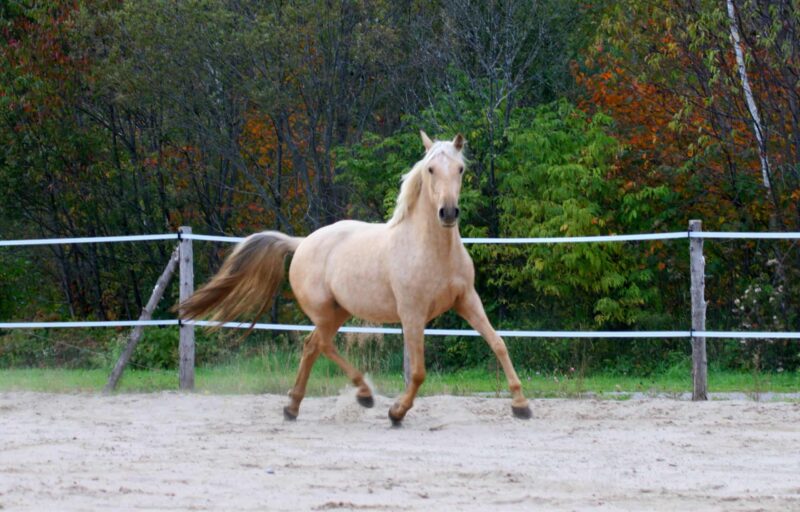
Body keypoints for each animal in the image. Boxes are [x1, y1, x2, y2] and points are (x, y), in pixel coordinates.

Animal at [179, 131, 532, 425]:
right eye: (431, 170)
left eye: (460, 169)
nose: (447, 213)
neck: (433, 251)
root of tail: (301, 243)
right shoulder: (413, 314)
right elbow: (418, 372)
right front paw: (397, 412)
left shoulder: (466, 300)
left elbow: (499, 344)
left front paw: (521, 404)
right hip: (325, 311)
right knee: (322, 344)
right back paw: (363, 394)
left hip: (339, 310)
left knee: (312, 346)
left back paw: (293, 407)